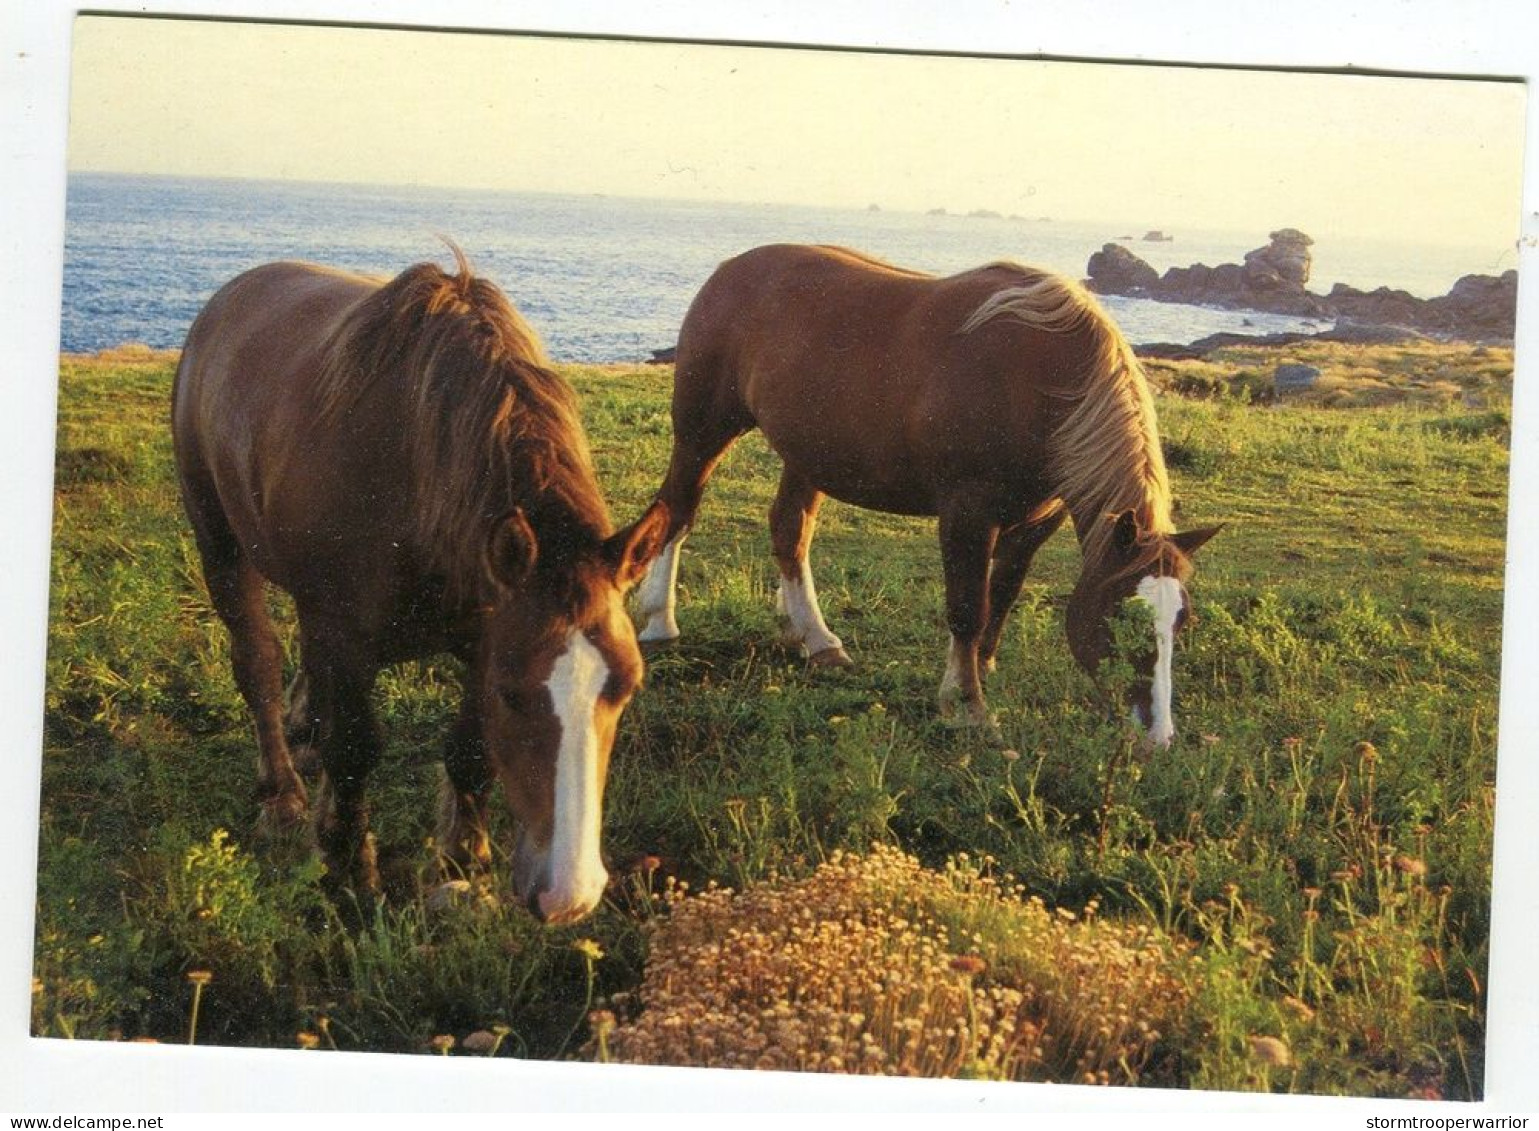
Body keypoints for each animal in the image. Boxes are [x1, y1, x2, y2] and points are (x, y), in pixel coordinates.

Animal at [174, 247, 667, 923]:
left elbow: (470, 750)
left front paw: (461, 860)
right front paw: (349, 866)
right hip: (221, 546)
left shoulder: (485, 633)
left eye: (626, 686)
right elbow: (354, 747)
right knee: (258, 667)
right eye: (513, 694)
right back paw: (282, 794)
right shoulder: (346, 633)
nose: (569, 894)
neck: (412, 476)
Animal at [630, 243, 1218, 747]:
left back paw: (816, 639)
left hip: (806, 455)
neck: (1036, 376)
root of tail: (730, 270)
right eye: (1123, 616)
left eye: (1181, 621)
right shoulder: (966, 512)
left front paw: (981, 668)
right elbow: (967, 607)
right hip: (703, 432)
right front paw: (968, 706)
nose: (1158, 735)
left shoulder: (1037, 520)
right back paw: (660, 621)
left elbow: (1002, 594)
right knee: (677, 512)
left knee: (789, 533)